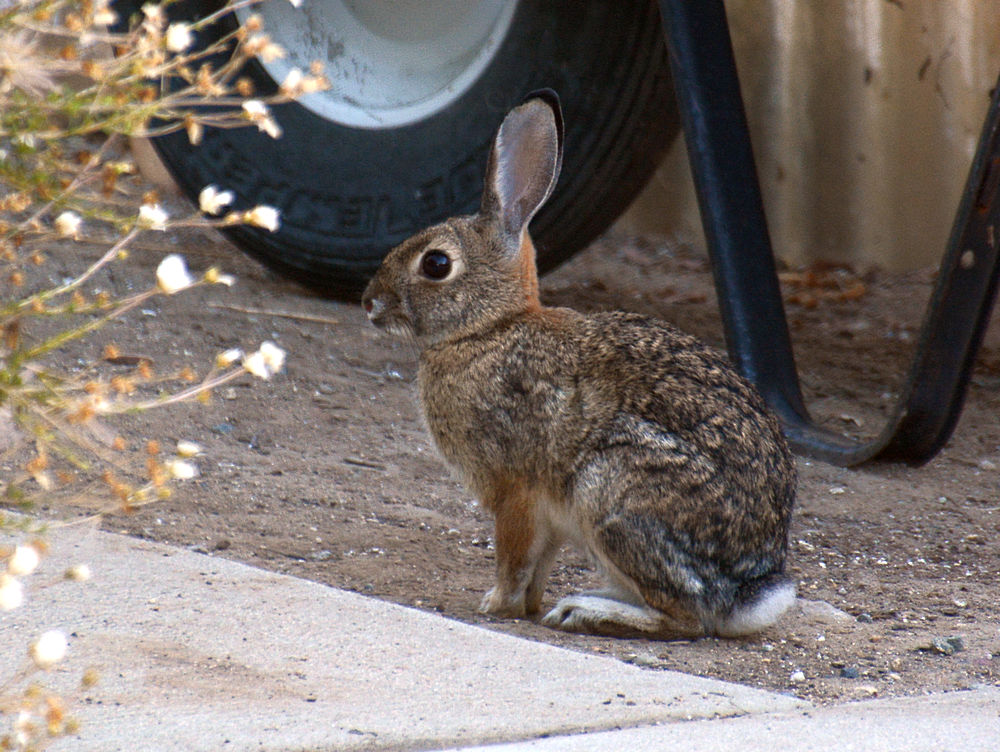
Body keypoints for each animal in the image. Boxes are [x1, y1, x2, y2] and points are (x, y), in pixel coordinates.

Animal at [361, 91, 797, 639]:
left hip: (610, 492)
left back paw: (586, 611)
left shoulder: (515, 489)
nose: (369, 302)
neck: (491, 328)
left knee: (686, 618)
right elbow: (539, 562)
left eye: (436, 264)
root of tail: (746, 590)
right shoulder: (546, 513)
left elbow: (513, 556)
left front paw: (495, 606)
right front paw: (525, 606)